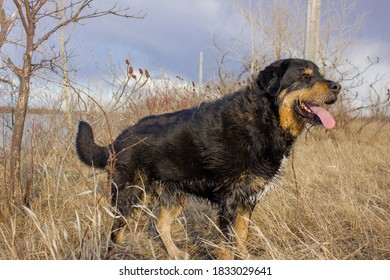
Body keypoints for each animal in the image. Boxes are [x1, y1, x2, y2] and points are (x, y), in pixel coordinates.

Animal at [75, 58, 338, 260]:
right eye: (304, 77)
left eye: (319, 75)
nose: (337, 86)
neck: (263, 120)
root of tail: (118, 140)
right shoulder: (230, 200)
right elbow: (227, 244)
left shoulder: (248, 199)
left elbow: (241, 238)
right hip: (128, 196)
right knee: (115, 233)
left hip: (173, 194)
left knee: (161, 225)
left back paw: (175, 254)